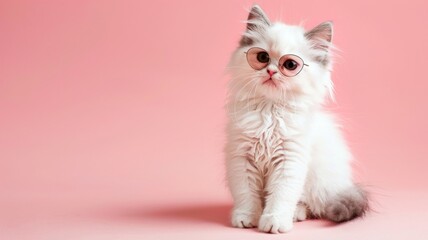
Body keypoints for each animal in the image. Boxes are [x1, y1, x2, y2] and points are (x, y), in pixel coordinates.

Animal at [224, 5, 368, 233]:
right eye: (262, 58)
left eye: (290, 65)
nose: (271, 71)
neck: (270, 112)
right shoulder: (241, 158)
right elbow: (246, 195)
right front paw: (246, 217)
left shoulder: (289, 159)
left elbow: (281, 196)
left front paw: (273, 222)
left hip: (316, 180)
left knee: (310, 205)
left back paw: (295, 214)